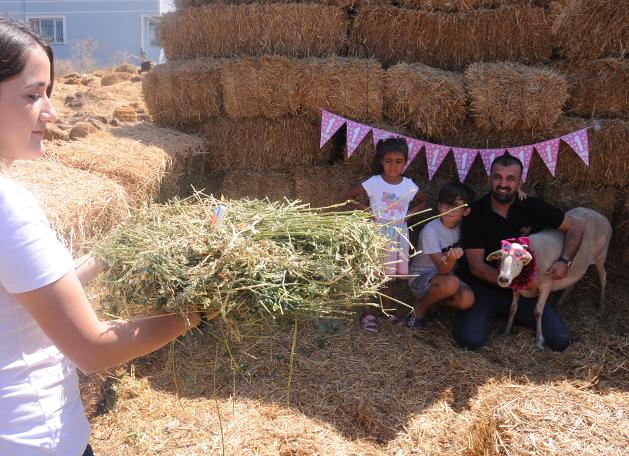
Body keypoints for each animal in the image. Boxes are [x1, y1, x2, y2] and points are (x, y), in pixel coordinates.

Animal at [484, 208, 612, 350]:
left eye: (519, 263)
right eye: (500, 259)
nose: (503, 279)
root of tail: (597, 213)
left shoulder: (546, 285)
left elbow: (538, 312)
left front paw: (539, 341)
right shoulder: (516, 289)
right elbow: (512, 308)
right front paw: (506, 331)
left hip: (601, 255)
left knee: (604, 278)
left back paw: (601, 308)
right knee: (575, 280)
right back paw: (560, 302)